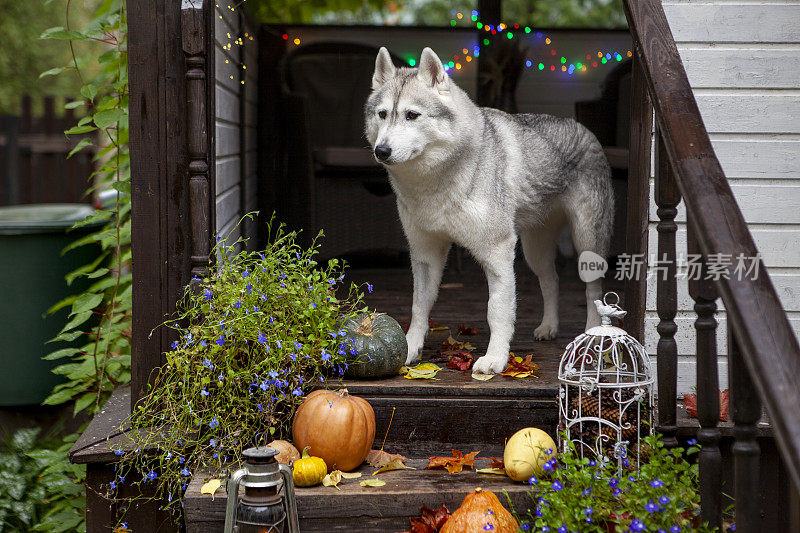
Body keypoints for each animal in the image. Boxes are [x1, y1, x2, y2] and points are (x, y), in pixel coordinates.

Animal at [366, 46, 616, 374]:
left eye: (412, 115)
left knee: (592, 291)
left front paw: (495, 359)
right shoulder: (425, 253)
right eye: (382, 114)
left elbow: (496, 311)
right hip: (535, 251)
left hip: (587, 248)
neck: (437, 181)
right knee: (551, 281)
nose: (381, 151)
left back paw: (590, 334)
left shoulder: (497, 251)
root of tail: (583, 129)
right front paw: (409, 348)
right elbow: (419, 306)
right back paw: (548, 327)